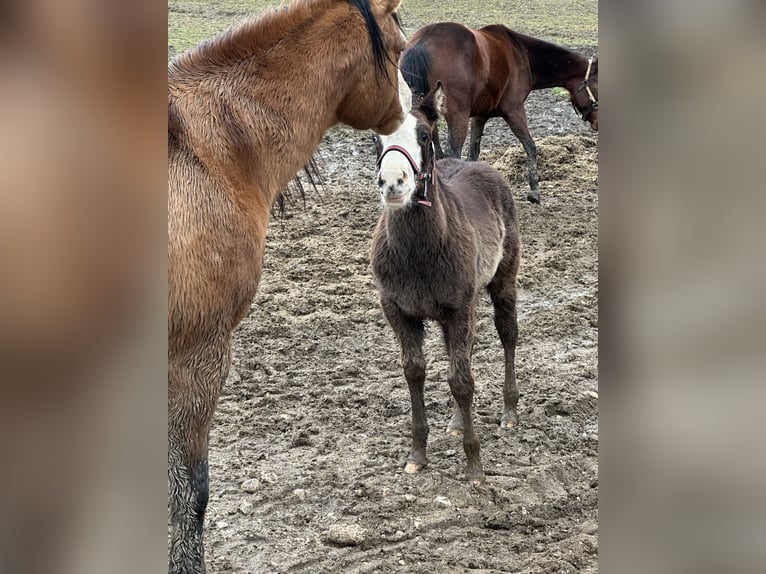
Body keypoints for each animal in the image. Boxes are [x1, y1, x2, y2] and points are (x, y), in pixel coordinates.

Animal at [370, 81, 521, 485]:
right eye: (376, 139)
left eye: (424, 136)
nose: (393, 183)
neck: (419, 253)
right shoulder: (399, 310)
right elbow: (415, 372)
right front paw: (417, 455)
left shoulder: (458, 308)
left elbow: (462, 380)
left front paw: (474, 467)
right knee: (462, 351)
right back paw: (455, 421)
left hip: (503, 281)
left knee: (507, 335)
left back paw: (510, 412)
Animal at [399, 22, 598, 204]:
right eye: (597, 86)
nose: (597, 124)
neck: (522, 53)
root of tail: (423, 41)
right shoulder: (514, 110)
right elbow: (530, 146)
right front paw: (534, 190)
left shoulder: (480, 117)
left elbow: (474, 153)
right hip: (458, 117)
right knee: (451, 153)